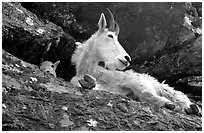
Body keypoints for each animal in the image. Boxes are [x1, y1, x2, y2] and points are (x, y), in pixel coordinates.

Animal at [70, 9, 201, 115]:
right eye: (110, 36)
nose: (127, 58)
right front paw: (89, 83)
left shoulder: (136, 82)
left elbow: (145, 93)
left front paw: (169, 104)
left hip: (165, 89)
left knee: (181, 97)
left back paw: (192, 108)